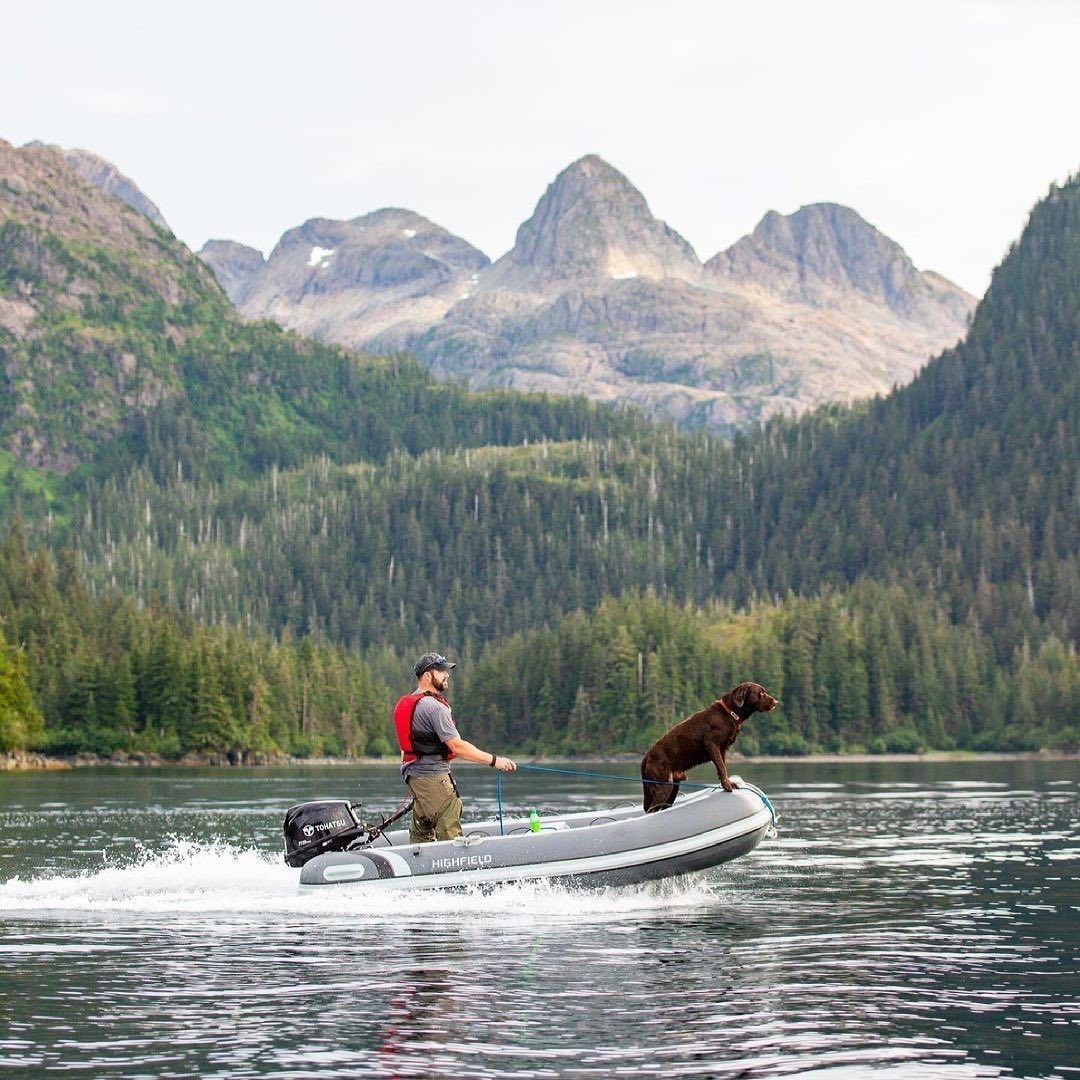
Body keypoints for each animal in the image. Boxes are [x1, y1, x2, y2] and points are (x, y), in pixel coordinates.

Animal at [639, 682, 777, 812]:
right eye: (761, 693)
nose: (776, 702)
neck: (730, 713)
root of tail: (647, 756)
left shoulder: (722, 749)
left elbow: (723, 766)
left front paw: (727, 783)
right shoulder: (711, 744)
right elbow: (721, 767)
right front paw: (727, 785)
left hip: (673, 786)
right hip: (663, 785)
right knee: (651, 810)